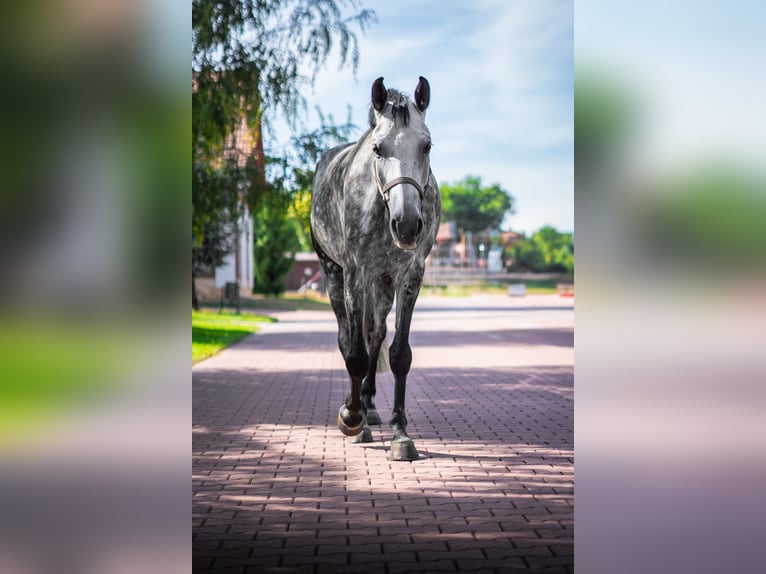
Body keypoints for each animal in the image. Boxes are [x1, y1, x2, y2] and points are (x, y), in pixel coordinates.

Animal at [310, 76, 440, 464]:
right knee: (347, 338)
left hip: (381, 282)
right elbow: (354, 353)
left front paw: (400, 434)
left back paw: (368, 407)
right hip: (334, 273)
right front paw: (350, 417)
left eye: (426, 146)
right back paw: (358, 415)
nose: (408, 224)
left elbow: (398, 353)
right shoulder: (354, 272)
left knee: (375, 333)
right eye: (378, 149)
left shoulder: (410, 275)